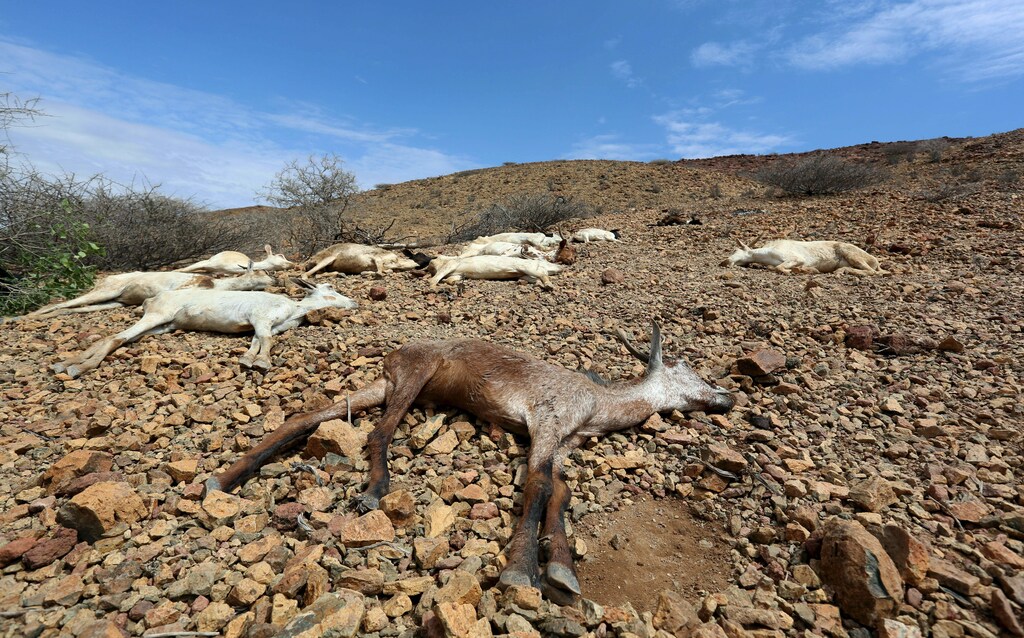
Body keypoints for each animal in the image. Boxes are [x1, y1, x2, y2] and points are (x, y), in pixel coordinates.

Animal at [52, 280, 357, 378]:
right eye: (331, 290)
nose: (353, 302)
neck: (293, 308)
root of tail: (152, 300)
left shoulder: (264, 325)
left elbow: (257, 341)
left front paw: (248, 360)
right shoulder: (261, 318)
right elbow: (265, 340)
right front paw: (261, 363)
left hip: (163, 326)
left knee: (123, 340)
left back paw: (65, 363)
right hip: (157, 316)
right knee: (116, 337)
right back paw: (76, 367)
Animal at [206, 322, 733, 602]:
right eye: (690, 370)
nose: (726, 397)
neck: (597, 406)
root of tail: (394, 355)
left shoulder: (563, 444)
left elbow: (560, 495)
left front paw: (562, 570)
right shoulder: (546, 423)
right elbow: (539, 488)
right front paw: (522, 570)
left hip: (385, 385)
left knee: (311, 416)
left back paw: (223, 480)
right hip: (414, 376)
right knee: (379, 431)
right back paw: (374, 491)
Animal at [427, 255, 563, 289]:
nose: (561, 267)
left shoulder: (452, 264)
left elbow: (436, 278)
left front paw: (433, 286)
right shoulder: (458, 273)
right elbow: (450, 279)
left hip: (526, 267)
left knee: (542, 274)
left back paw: (549, 285)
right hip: (524, 273)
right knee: (536, 278)